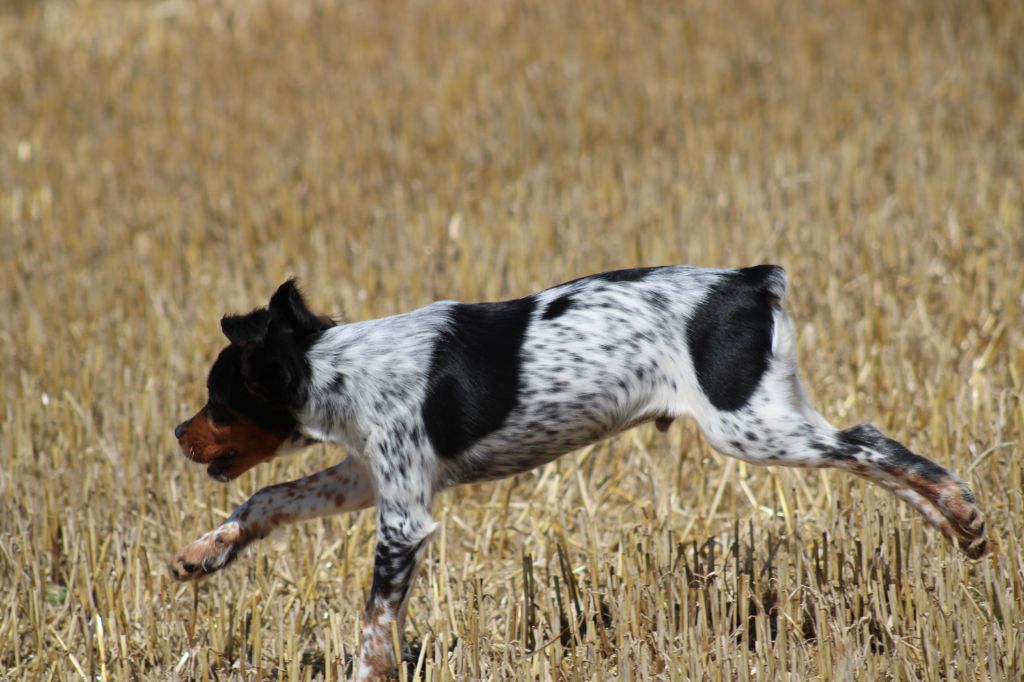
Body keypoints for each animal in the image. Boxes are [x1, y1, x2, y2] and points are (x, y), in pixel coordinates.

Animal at [172, 264, 987, 675]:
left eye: (218, 401)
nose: (179, 434)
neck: (337, 364)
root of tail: (747, 281)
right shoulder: (373, 476)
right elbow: (269, 497)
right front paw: (203, 553)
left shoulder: (403, 516)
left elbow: (375, 622)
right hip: (767, 420)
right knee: (870, 450)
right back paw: (954, 527)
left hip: (751, 427)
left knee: (871, 441)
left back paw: (962, 512)